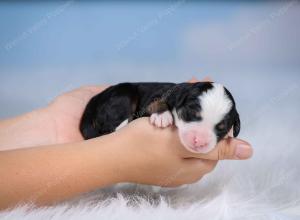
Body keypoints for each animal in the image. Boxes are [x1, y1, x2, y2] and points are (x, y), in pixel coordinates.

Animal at [79, 81, 239, 154]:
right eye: (191, 114)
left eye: (221, 128)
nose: (199, 141)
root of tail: (95, 98)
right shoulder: (155, 97)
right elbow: (159, 102)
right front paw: (162, 116)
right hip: (124, 95)